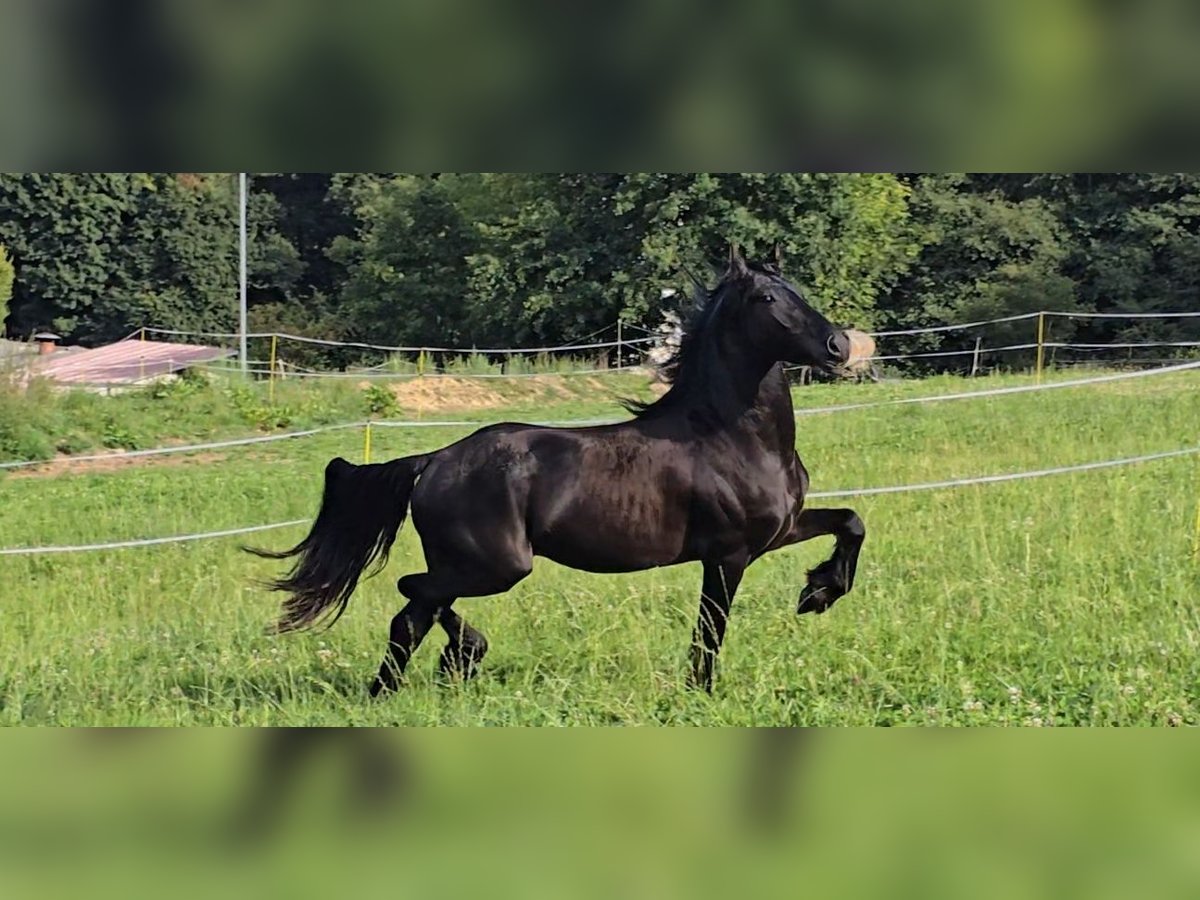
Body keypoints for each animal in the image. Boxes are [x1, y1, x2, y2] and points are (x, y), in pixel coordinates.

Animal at [248, 246, 867, 695]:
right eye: (766, 297)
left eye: (799, 290)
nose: (839, 347)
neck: (728, 436)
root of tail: (432, 462)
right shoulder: (729, 554)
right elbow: (710, 630)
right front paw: (702, 690)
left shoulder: (779, 531)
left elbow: (851, 522)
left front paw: (818, 592)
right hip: (499, 565)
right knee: (414, 596)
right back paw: (451, 660)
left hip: (469, 562)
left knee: (414, 613)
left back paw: (421, 676)